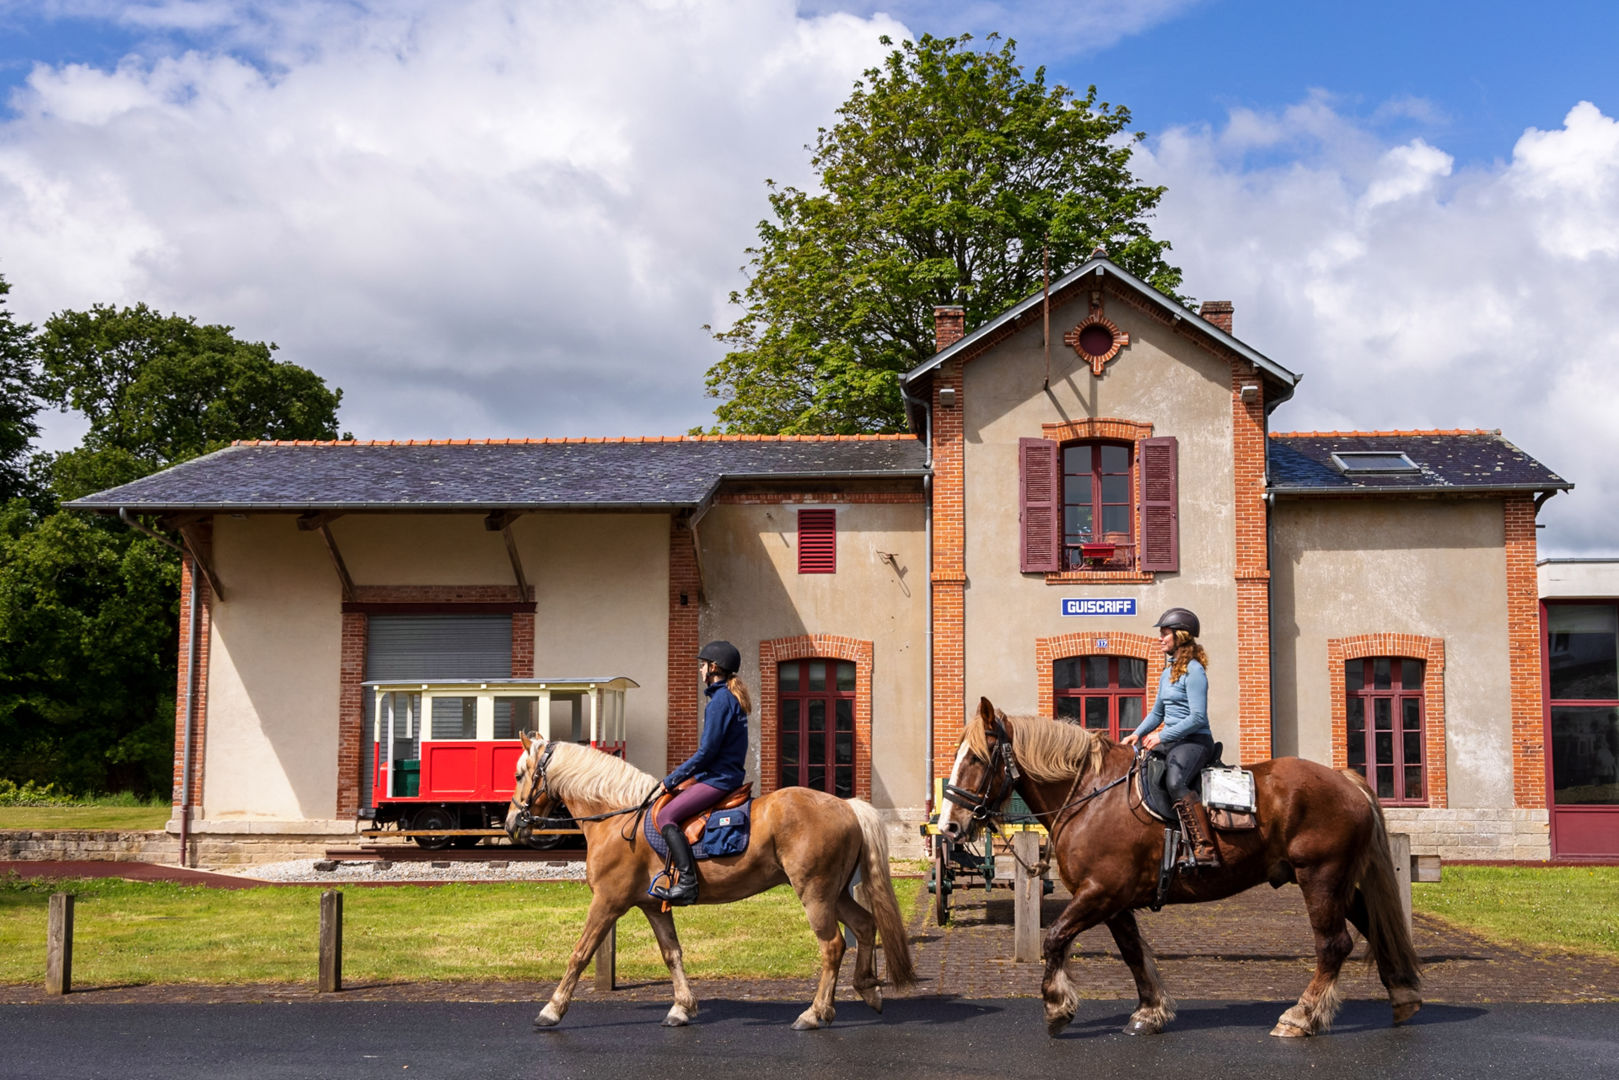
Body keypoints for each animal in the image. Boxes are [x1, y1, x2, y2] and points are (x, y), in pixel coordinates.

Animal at [505, 735, 913, 1029]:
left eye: (519, 775)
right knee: (865, 925)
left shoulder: (607, 902)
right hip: (835, 893)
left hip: (815, 894)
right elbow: (672, 954)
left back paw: (814, 1013)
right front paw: (682, 1008)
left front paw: (552, 1009)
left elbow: (580, 953)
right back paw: (868, 990)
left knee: (832, 947)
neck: (617, 817)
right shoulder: (654, 906)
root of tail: (846, 805)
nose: (511, 823)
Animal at [939, 702, 1418, 1036]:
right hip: (1339, 883)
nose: (949, 825)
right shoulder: (1114, 902)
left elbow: (1056, 937)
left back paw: (1301, 1017)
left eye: (977, 759)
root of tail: (1347, 781)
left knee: (1333, 945)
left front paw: (1057, 1007)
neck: (1091, 796)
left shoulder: (1100, 892)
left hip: (1319, 876)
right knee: (1373, 928)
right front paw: (1150, 1012)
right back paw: (1403, 994)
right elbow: (1133, 953)